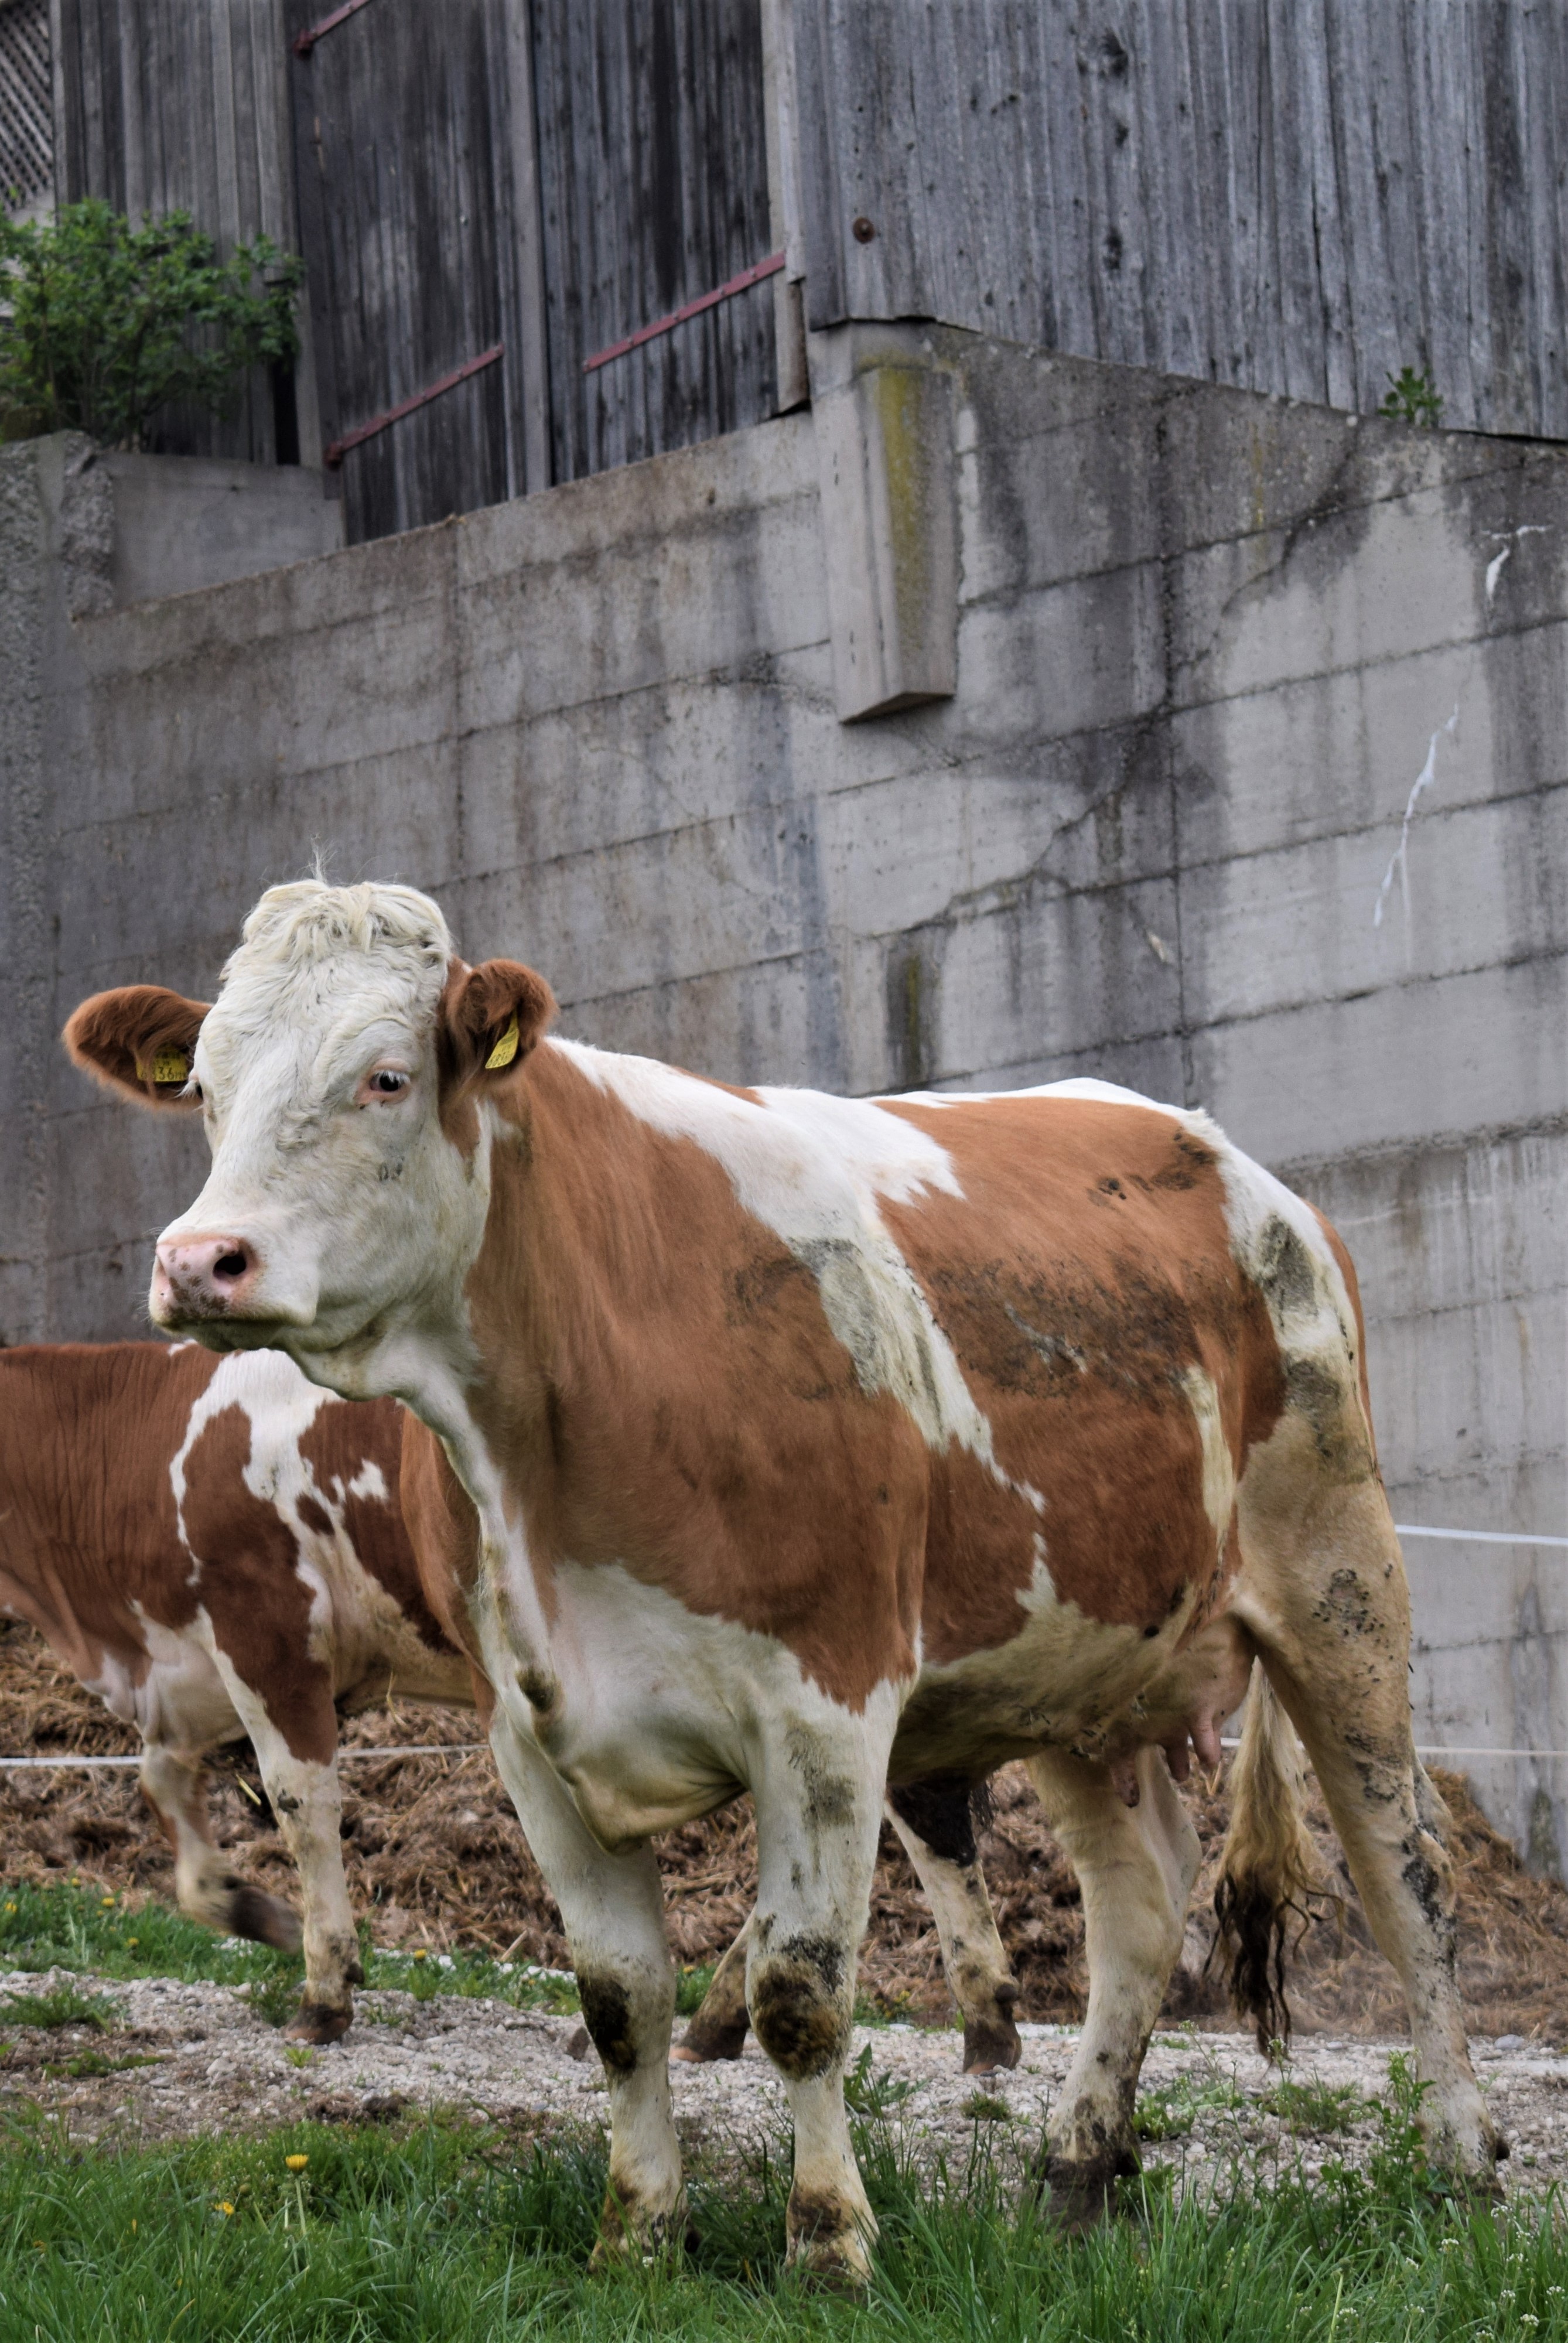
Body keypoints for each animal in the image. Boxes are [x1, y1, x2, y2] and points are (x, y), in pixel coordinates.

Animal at [0, 1340, 468, 2041]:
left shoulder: (266, 1633)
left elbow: (300, 1804)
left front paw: (325, 1992)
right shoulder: (189, 1669)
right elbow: (160, 1783)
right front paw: (251, 1909)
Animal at [67, 880, 1502, 2284]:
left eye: (383, 1077)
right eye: (206, 1085)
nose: (201, 1261)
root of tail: (1234, 1164)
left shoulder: (825, 1704)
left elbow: (801, 1998)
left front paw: (831, 2243)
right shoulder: (527, 1738)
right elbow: (619, 2001)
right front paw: (639, 2231)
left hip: (1337, 1576)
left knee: (1408, 1880)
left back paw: (1460, 2165)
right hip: (1079, 1663)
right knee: (1141, 1908)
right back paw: (1077, 2168)